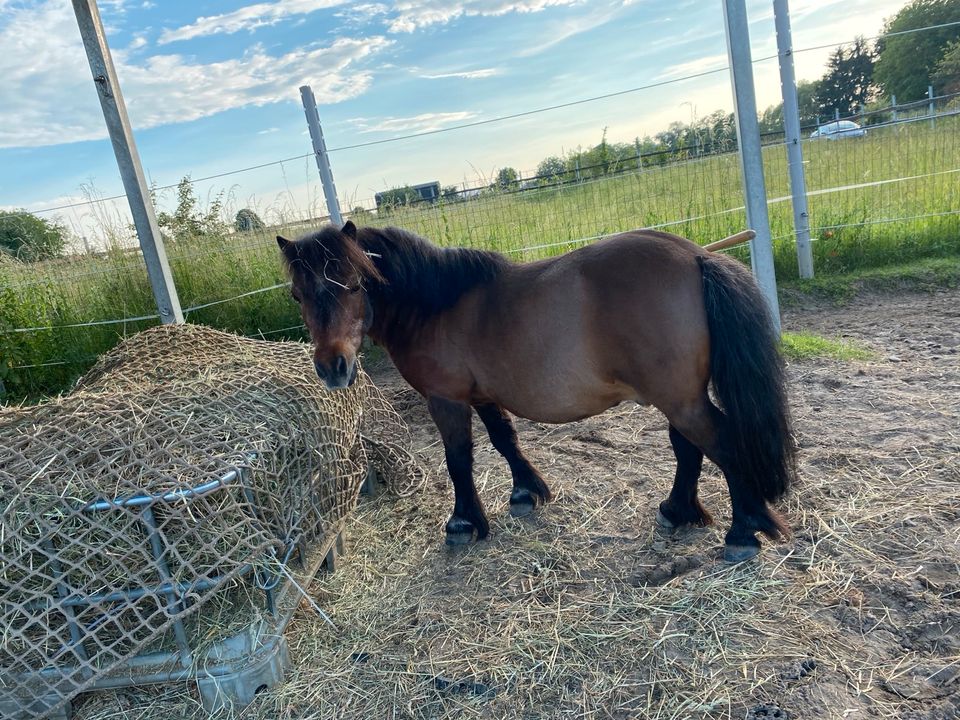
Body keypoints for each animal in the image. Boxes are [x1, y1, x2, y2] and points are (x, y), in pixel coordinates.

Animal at [278, 221, 796, 564]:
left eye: (356, 284)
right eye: (298, 295)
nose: (332, 367)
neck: (436, 304)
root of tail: (694, 255)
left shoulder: (447, 400)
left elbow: (458, 460)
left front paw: (464, 522)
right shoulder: (483, 395)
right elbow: (505, 440)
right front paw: (527, 492)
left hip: (681, 400)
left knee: (722, 444)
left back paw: (742, 532)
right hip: (678, 398)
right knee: (689, 449)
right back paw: (678, 511)